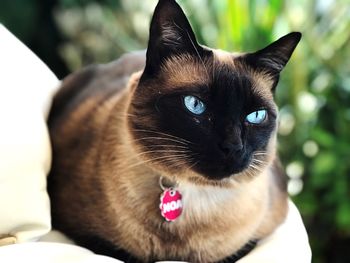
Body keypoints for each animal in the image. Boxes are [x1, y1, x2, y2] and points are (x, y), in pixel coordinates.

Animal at [47, 0, 302, 263]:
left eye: (256, 116)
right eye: (195, 105)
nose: (233, 147)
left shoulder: (254, 240)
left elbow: (234, 251)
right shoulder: (90, 239)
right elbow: (126, 253)